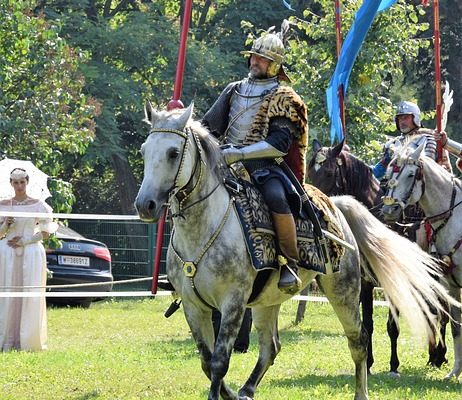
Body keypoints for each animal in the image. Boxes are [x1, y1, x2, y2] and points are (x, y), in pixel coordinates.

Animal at [134, 104, 454, 398]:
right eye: (144, 150)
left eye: (173, 152)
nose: (145, 205)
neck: (203, 229)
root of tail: (337, 205)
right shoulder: (193, 305)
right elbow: (206, 360)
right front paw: (229, 392)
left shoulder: (233, 303)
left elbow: (219, 362)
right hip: (268, 300)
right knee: (271, 347)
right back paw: (246, 390)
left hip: (344, 290)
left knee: (359, 339)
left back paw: (365, 389)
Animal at [382, 139, 462, 380]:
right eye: (387, 175)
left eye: (410, 174)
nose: (389, 209)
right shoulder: (451, 285)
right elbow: (456, 326)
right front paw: (455, 372)